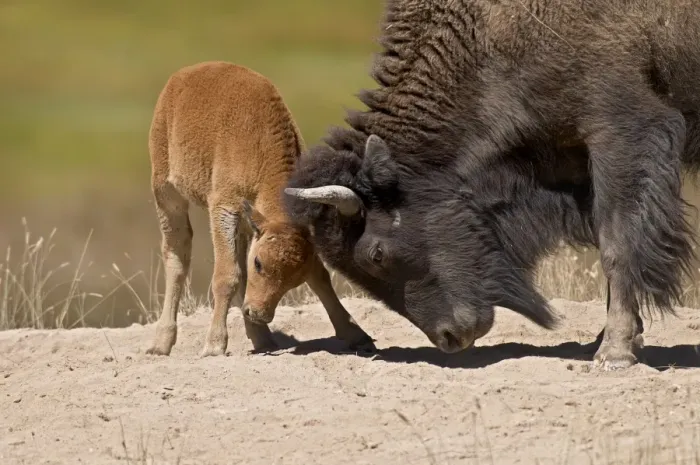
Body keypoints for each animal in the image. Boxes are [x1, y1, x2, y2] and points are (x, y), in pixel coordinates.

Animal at [145, 61, 374, 357]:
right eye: (260, 263)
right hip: (166, 193)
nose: (258, 313)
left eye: (295, 279)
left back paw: (262, 338)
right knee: (177, 255)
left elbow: (320, 276)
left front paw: (356, 334)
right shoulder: (224, 209)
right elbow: (227, 275)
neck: (260, 142)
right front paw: (214, 345)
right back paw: (161, 344)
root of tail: (183, 75)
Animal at [282, 0, 700, 371]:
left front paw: (613, 353)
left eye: (376, 254)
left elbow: (617, 245)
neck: (485, 34)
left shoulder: (619, 132)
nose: (450, 338)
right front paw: (610, 341)